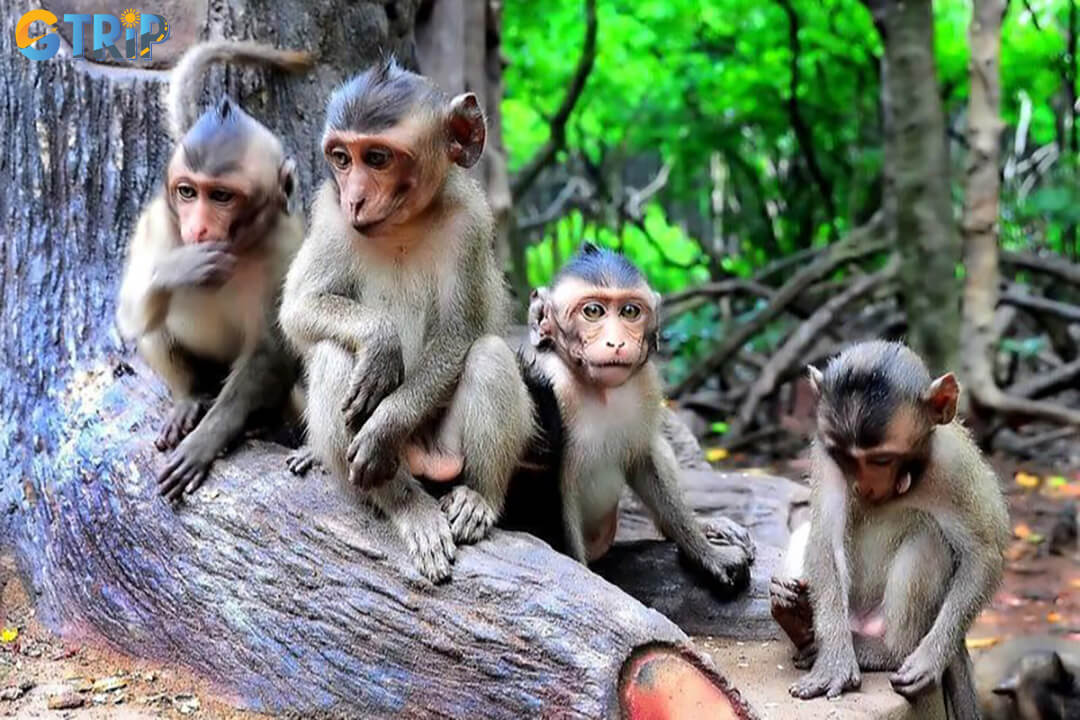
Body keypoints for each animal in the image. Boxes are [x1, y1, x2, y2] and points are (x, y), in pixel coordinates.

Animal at [115, 41, 313, 502]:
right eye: (188, 192)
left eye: (221, 196)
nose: (199, 228)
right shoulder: (156, 223)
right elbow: (129, 315)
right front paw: (182, 267)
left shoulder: (288, 251)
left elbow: (270, 350)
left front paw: (208, 439)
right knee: (153, 321)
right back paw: (189, 398)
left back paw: (260, 423)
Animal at [278, 58, 534, 583]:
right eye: (341, 158)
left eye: (377, 158)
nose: (355, 199)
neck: (402, 224)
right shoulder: (329, 213)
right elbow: (298, 306)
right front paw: (379, 341)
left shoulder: (469, 222)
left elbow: (460, 334)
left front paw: (384, 425)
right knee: (335, 355)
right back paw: (404, 503)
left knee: (489, 356)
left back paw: (478, 498)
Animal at [498, 244, 755, 593]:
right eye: (593, 311)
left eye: (630, 312)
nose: (617, 342)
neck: (597, 390)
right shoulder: (553, 384)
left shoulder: (645, 384)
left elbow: (645, 460)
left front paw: (705, 551)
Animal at [769, 341, 1010, 720]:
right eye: (845, 457)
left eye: (881, 459)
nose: (864, 486)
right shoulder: (824, 448)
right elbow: (825, 535)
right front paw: (834, 661)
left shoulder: (952, 464)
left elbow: (984, 553)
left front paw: (930, 658)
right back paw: (797, 616)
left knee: (929, 538)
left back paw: (886, 651)